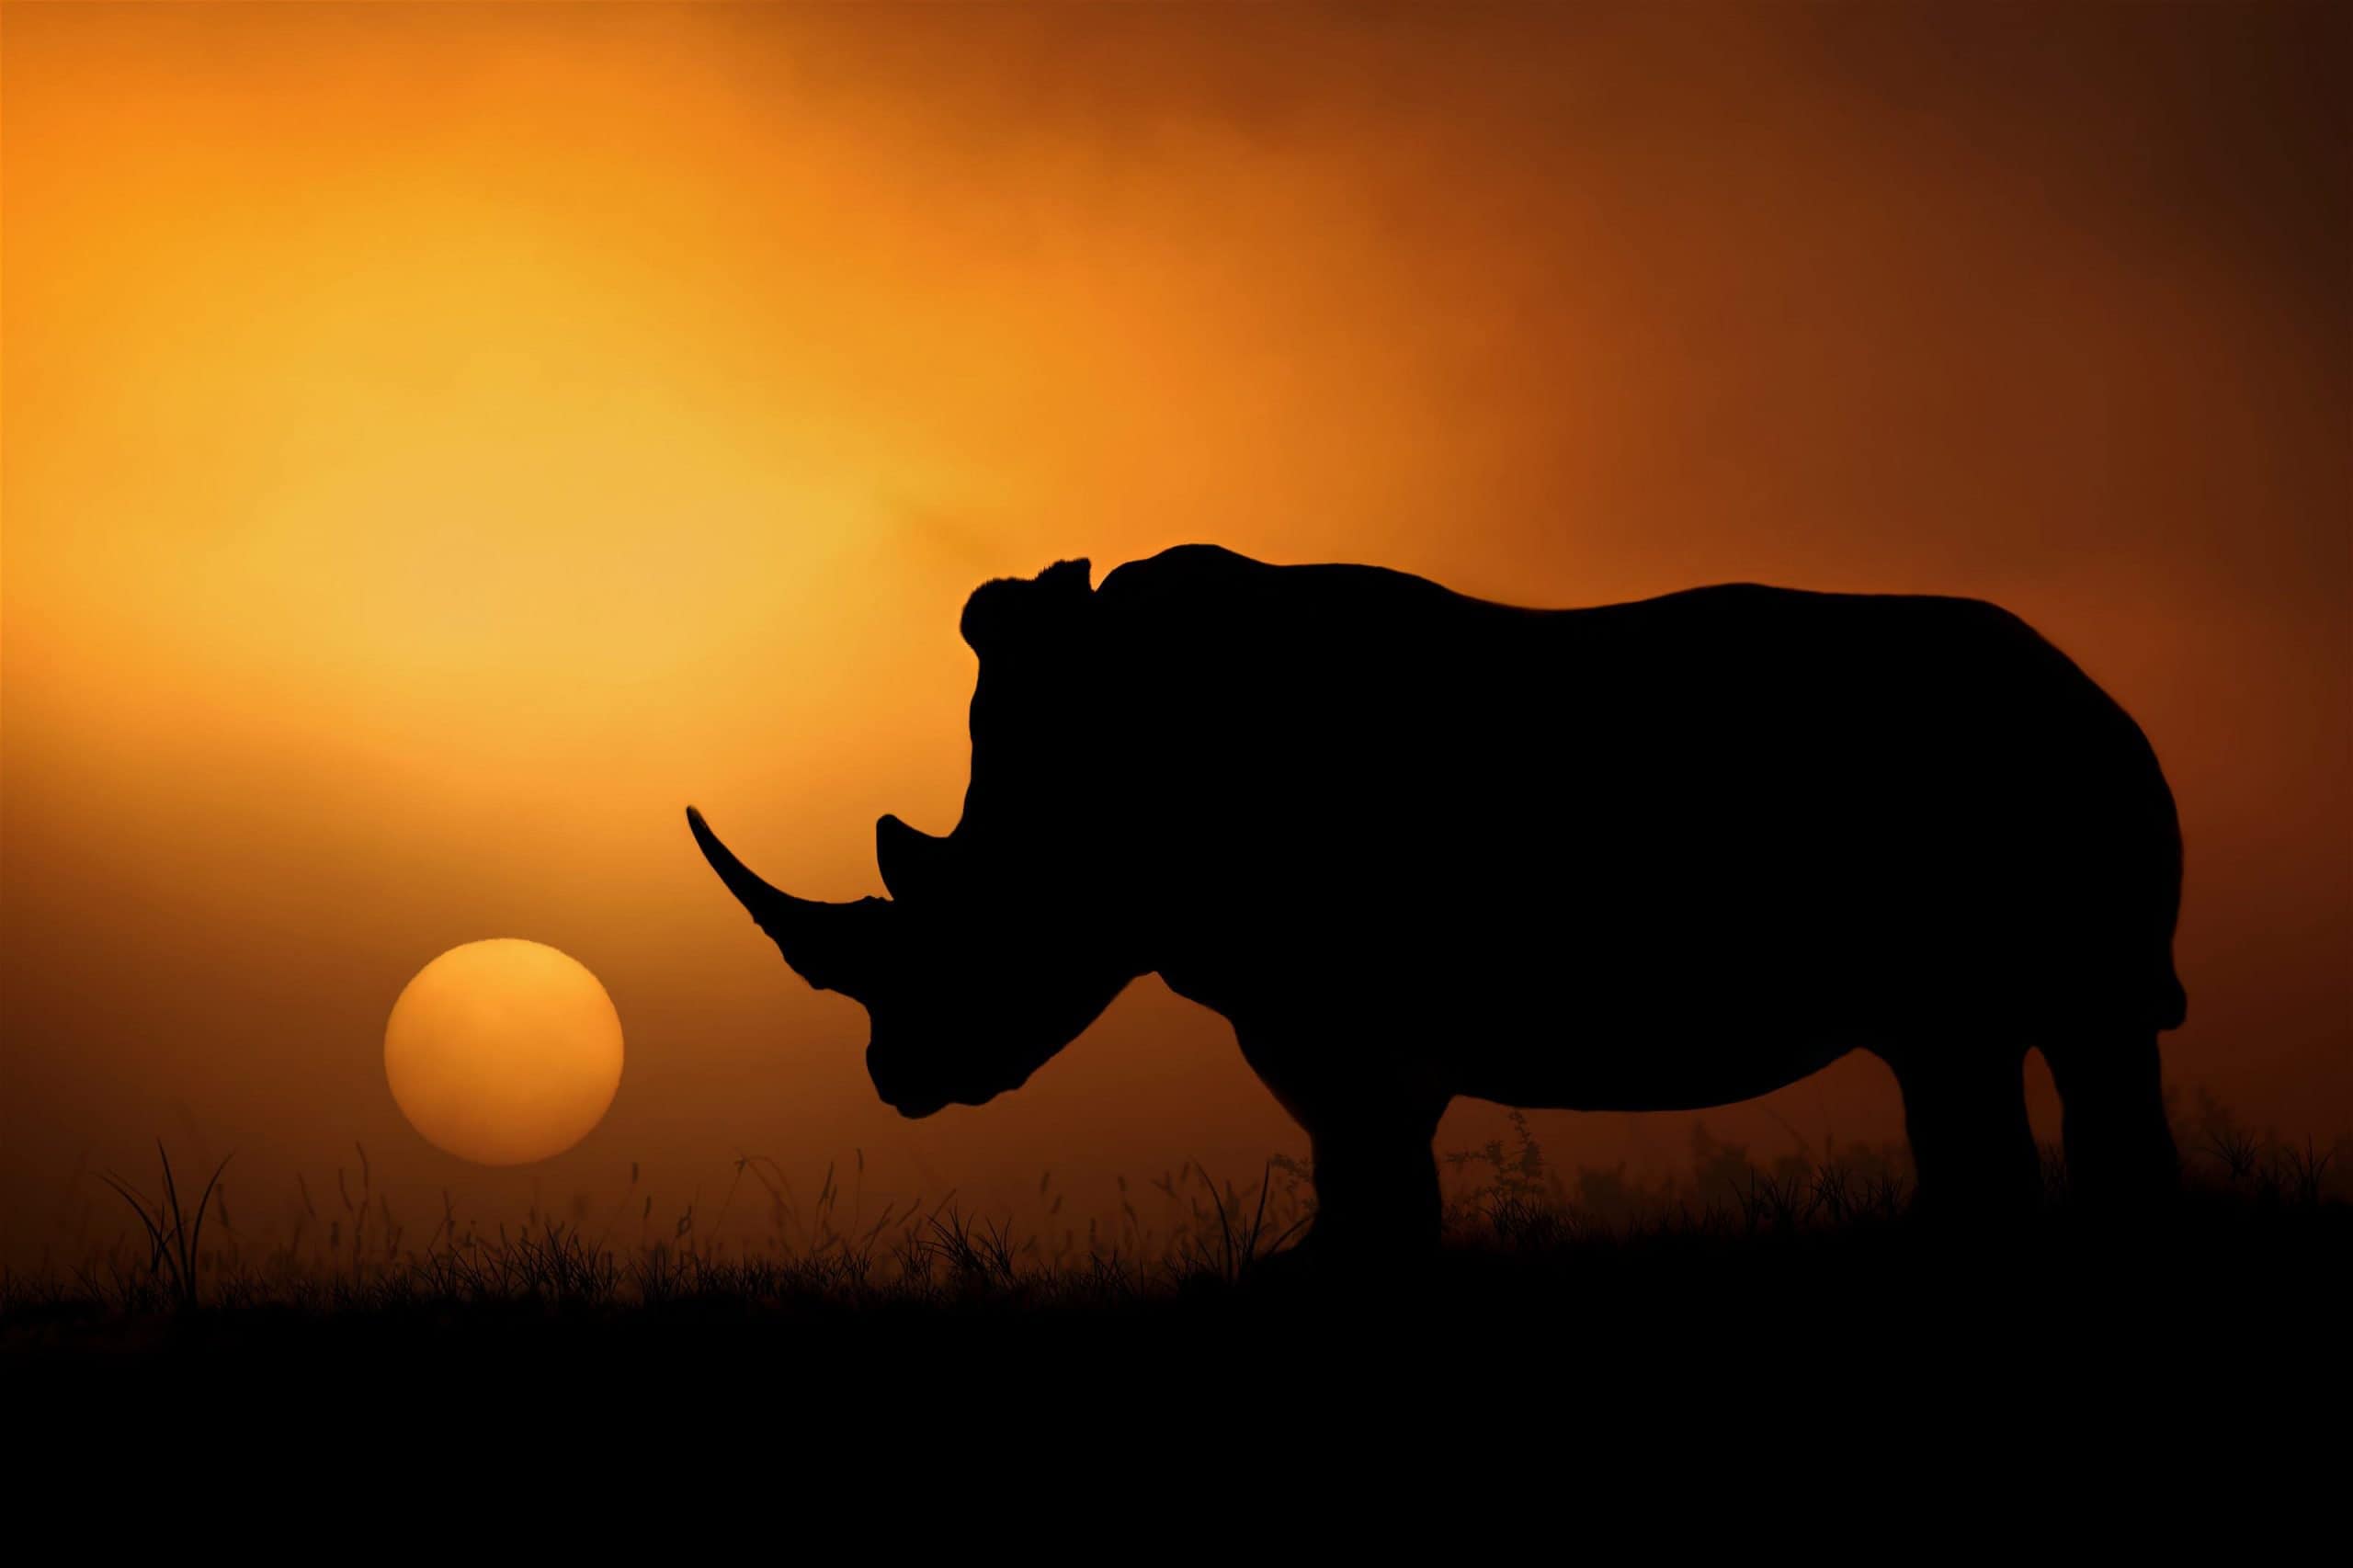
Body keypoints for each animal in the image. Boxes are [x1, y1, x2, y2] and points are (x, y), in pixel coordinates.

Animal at [689, 545, 2185, 1254]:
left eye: (969, 926)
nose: (897, 1079)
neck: (1098, 792)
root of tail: (2097, 688)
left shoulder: (1320, 990)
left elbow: (1361, 1138)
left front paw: (1324, 1277)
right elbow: (1364, 1145)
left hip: (2042, 771)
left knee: (2053, 1030)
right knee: (1972, 1046)